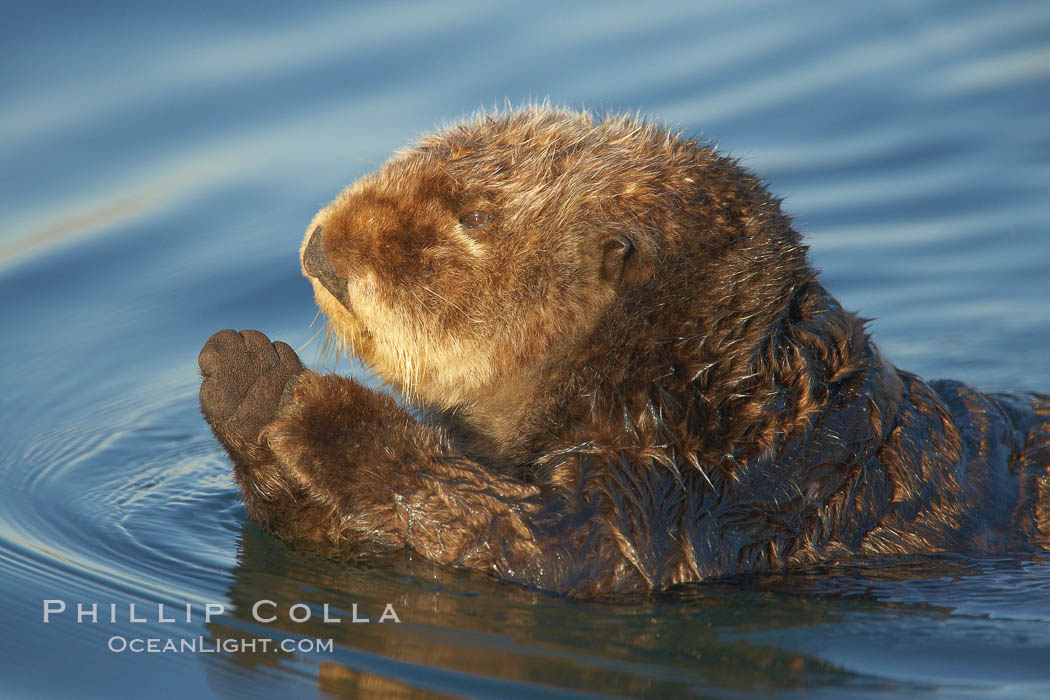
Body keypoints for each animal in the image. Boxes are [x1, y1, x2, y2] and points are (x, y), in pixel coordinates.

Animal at [198, 103, 1050, 596]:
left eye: (474, 216)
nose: (321, 249)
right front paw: (241, 374)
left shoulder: (696, 490)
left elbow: (554, 548)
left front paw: (306, 403)